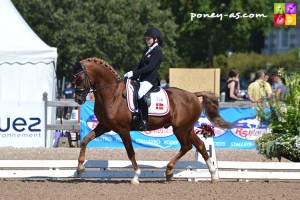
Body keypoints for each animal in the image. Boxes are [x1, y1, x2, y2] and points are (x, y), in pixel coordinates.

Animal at [71, 57, 231, 184]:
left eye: (80, 79)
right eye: (74, 79)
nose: (78, 99)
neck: (112, 94)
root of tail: (193, 94)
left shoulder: (123, 129)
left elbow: (130, 152)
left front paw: (136, 177)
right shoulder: (104, 126)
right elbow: (85, 140)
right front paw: (80, 169)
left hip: (180, 129)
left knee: (186, 146)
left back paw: (169, 171)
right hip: (188, 128)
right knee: (201, 146)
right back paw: (213, 175)